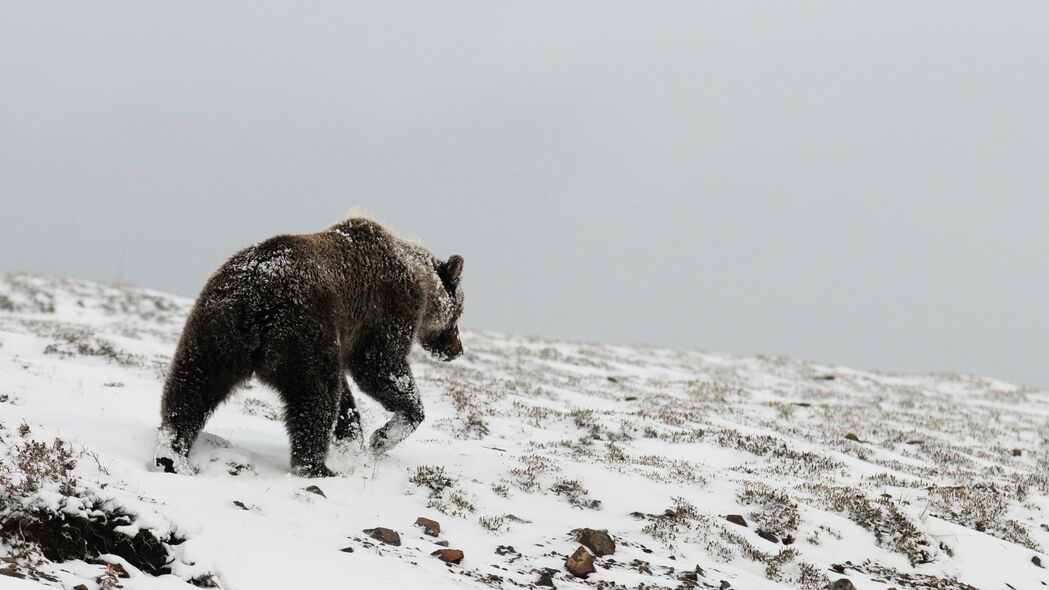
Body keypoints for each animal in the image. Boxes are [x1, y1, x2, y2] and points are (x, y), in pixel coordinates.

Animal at [154, 218, 463, 474]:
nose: (457, 349)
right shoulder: (387, 309)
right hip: (304, 331)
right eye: (459, 312)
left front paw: (354, 445)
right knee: (315, 397)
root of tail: (258, 295)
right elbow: (380, 367)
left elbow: (347, 399)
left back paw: (171, 454)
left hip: (217, 326)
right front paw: (382, 437)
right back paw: (315, 467)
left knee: (191, 386)